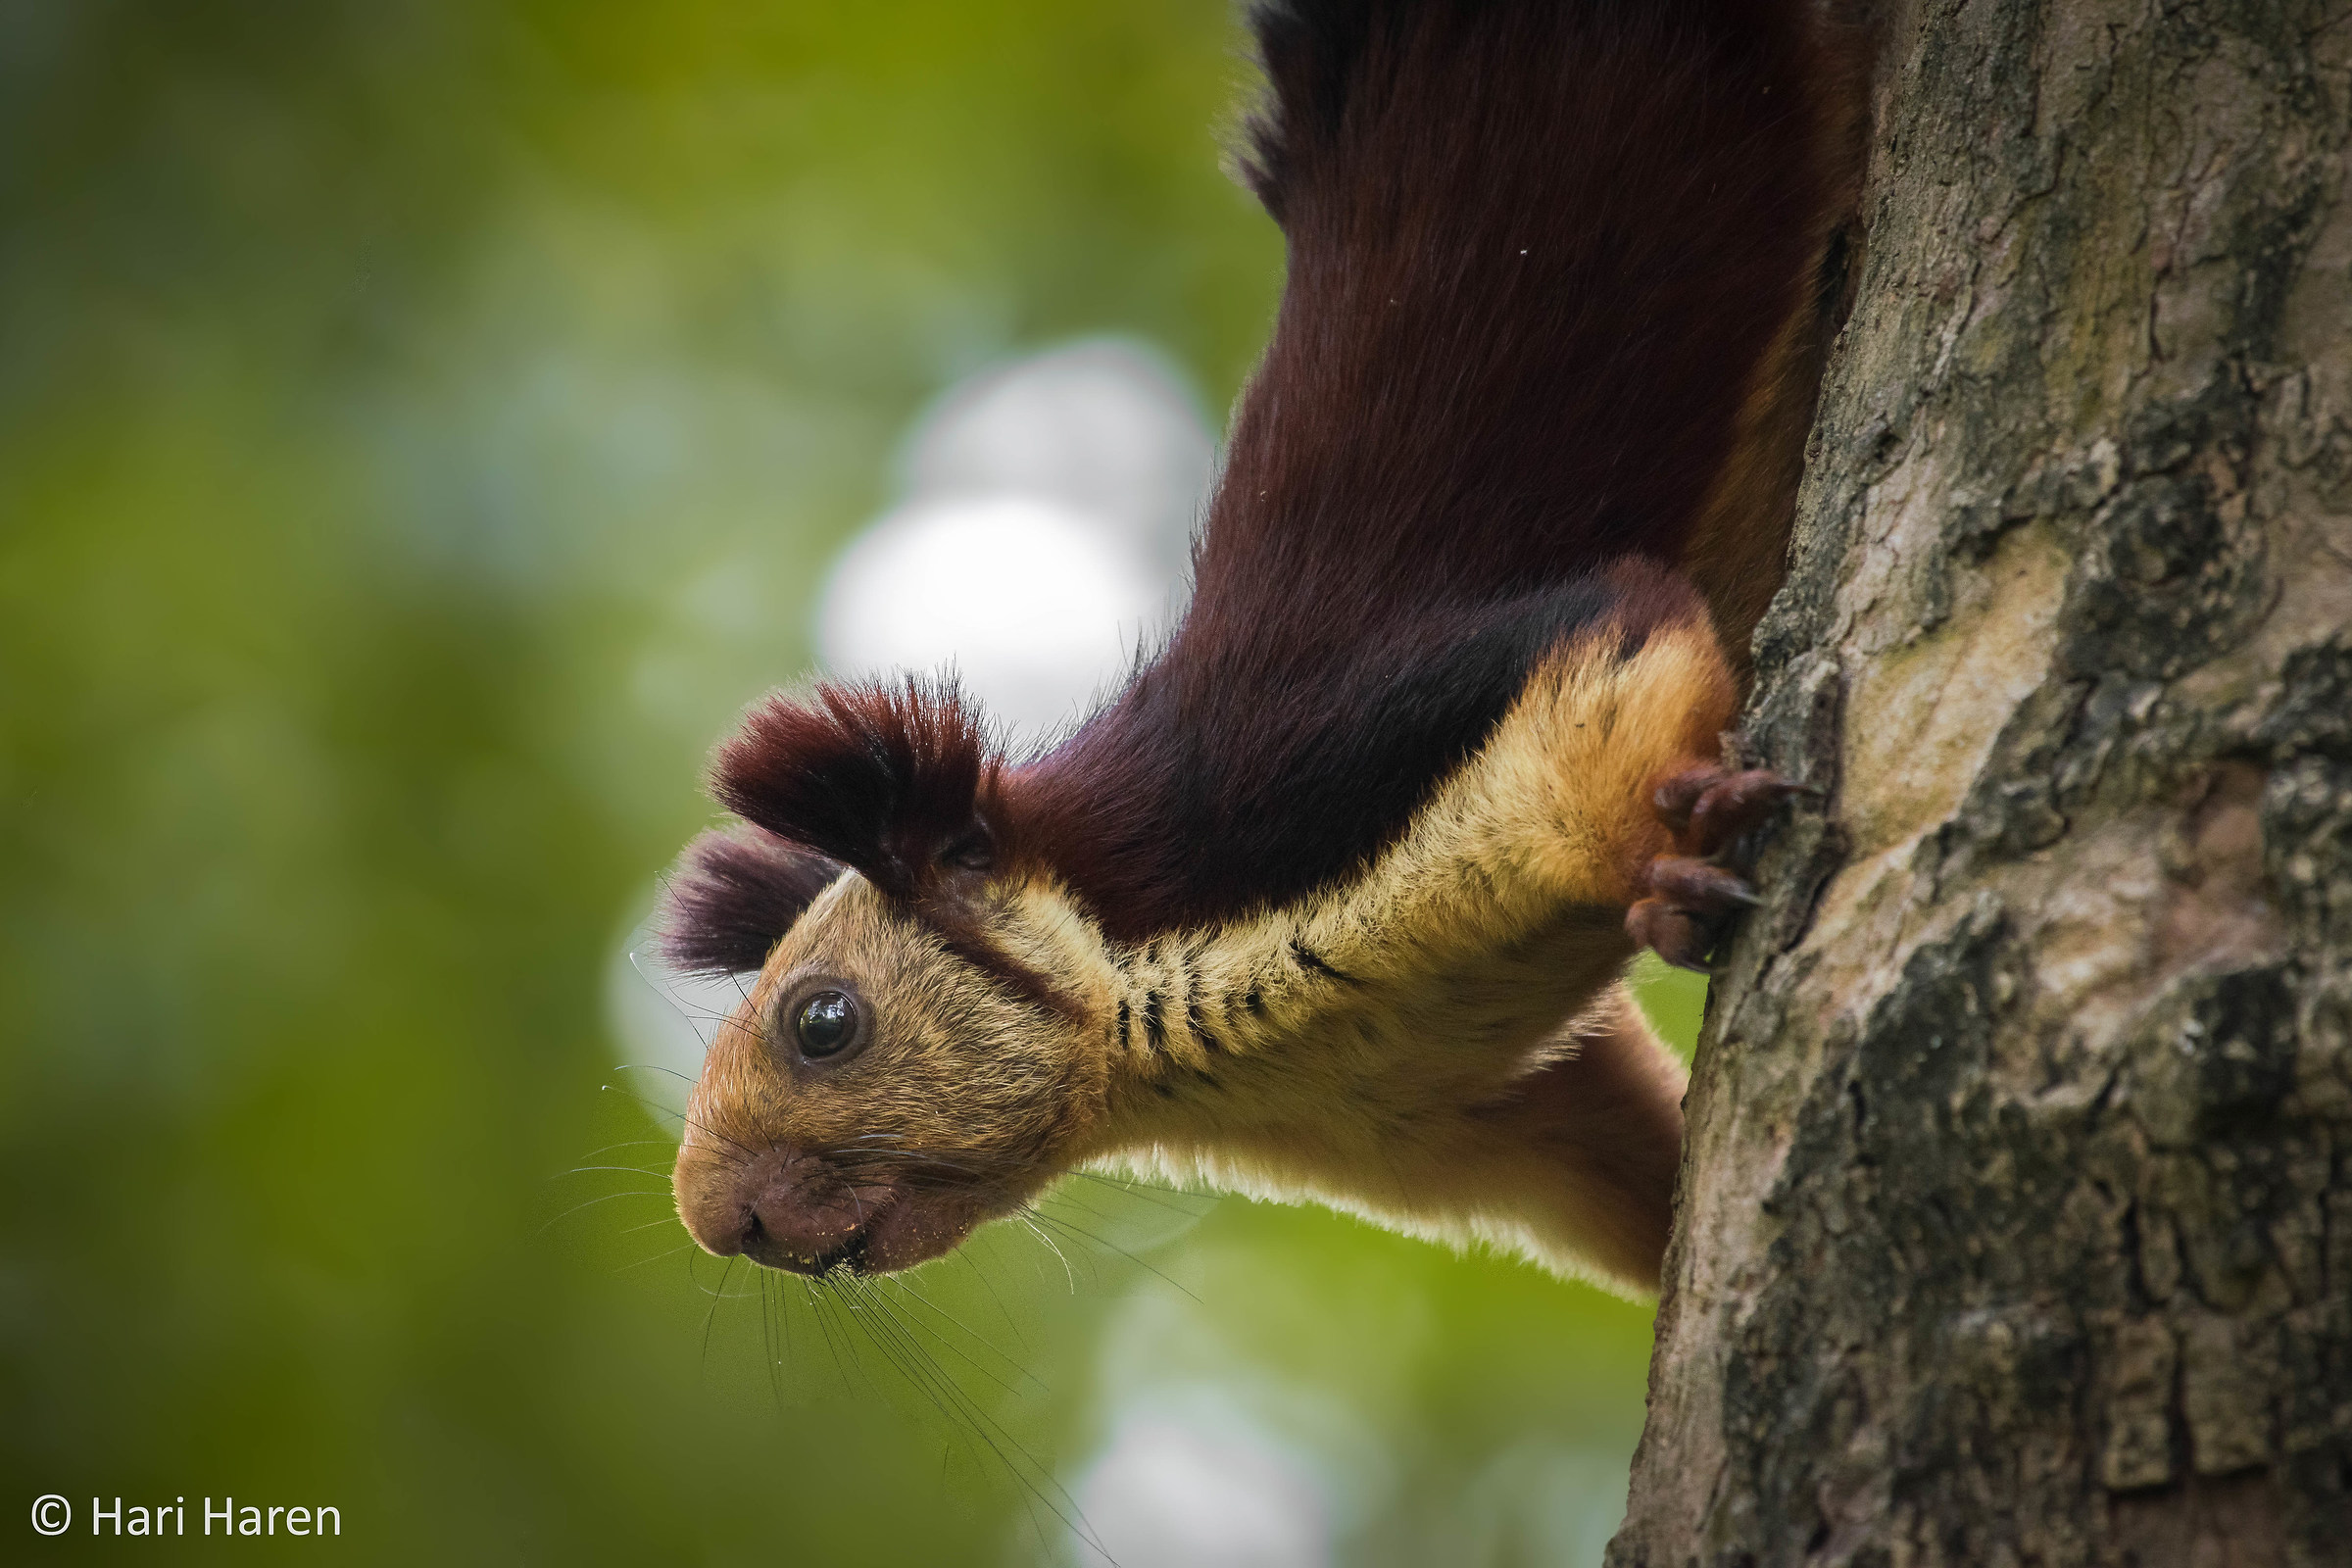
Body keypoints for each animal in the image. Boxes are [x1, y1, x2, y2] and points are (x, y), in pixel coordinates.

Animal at [661, 0, 1860, 1298]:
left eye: (822, 1022)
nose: (716, 1217)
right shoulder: (1440, 1110)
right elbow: (1622, 1166)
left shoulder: (1323, 757)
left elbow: (1614, 644)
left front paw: (1671, 850)